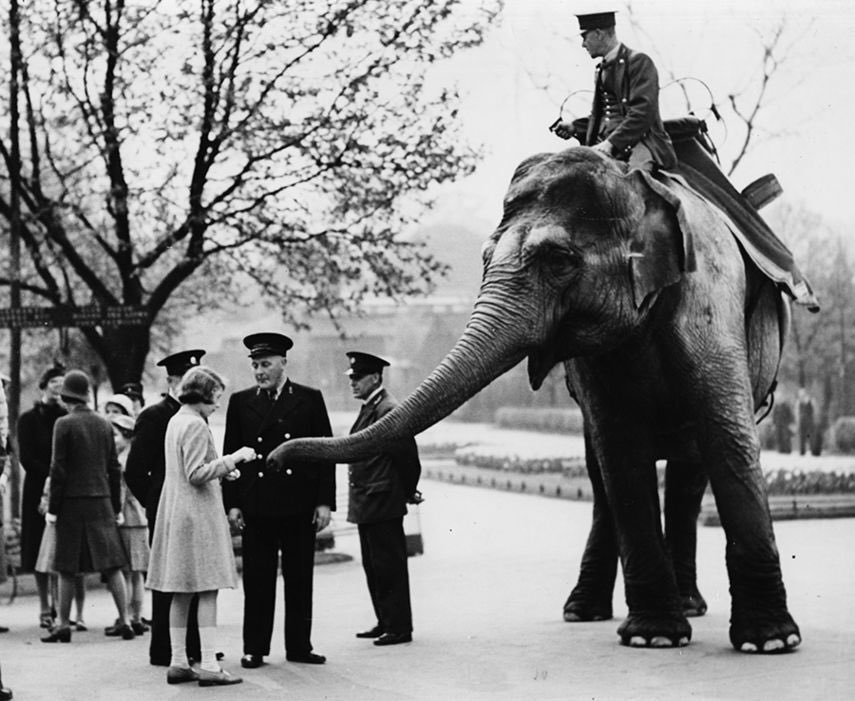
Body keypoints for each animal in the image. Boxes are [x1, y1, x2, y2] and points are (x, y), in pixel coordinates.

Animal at [272, 149, 804, 656]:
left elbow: (726, 434)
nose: (274, 458)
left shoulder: (708, 298)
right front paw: (653, 637)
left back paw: (689, 606)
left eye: (558, 259)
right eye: (485, 257)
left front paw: (770, 641)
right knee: (604, 473)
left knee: (689, 467)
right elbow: (620, 449)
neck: (637, 185)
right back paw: (586, 611)